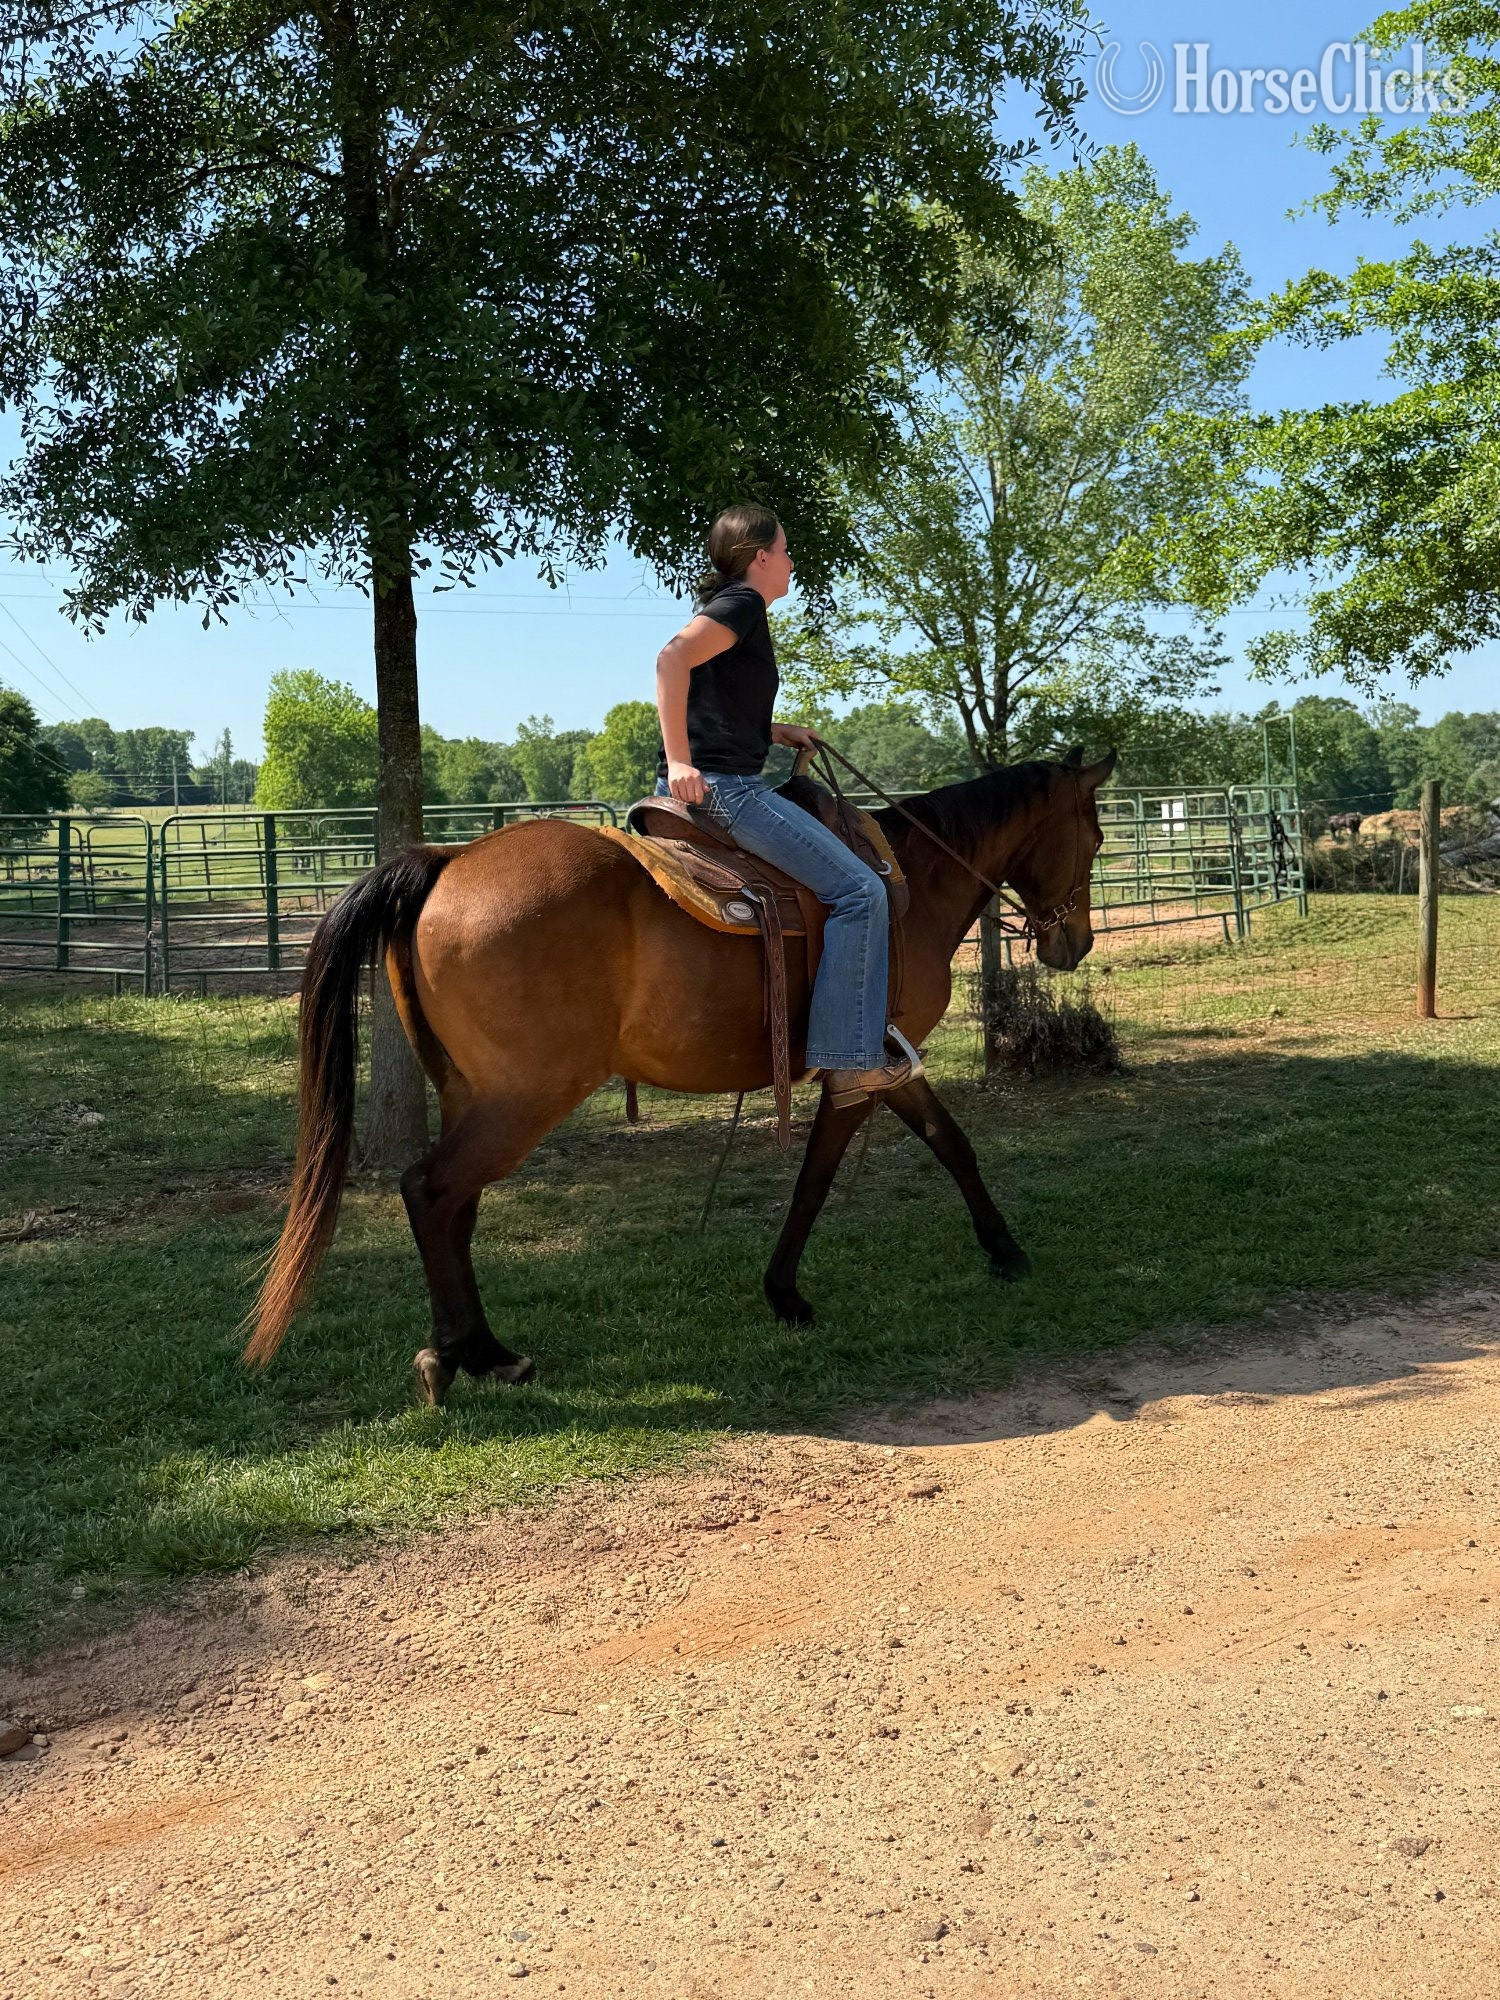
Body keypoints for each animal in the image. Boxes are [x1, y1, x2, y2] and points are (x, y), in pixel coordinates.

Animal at [245, 747, 1117, 1403]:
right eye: (1098, 835)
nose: (1073, 942)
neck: (909, 882)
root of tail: (449, 860)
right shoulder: (867, 1070)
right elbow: (822, 1177)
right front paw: (787, 1293)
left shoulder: (888, 1069)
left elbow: (948, 1143)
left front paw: (1002, 1250)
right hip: (524, 1098)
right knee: (430, 1191)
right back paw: (468, 1354)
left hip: (471, 1093)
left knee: (456, 1205)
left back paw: (476, 1350)